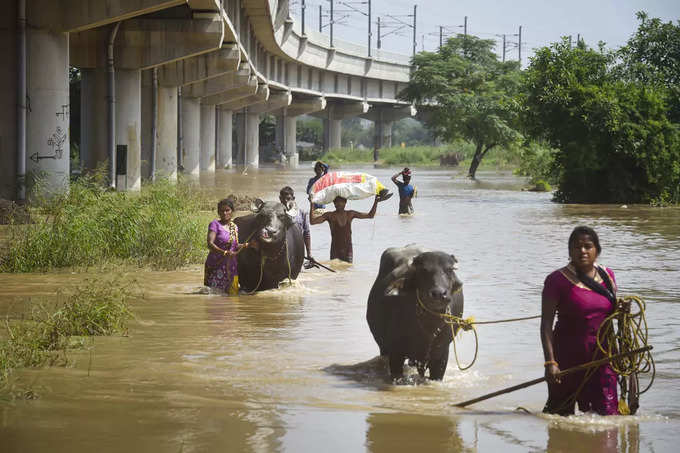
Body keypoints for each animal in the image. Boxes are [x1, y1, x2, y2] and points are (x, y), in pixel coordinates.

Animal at [366, 245, 462, 380]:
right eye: (424, 271)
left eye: (449, 270)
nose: (438, 294)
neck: (430, 325)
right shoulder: (396, 352)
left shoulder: (442, 354)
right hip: (383, 348)